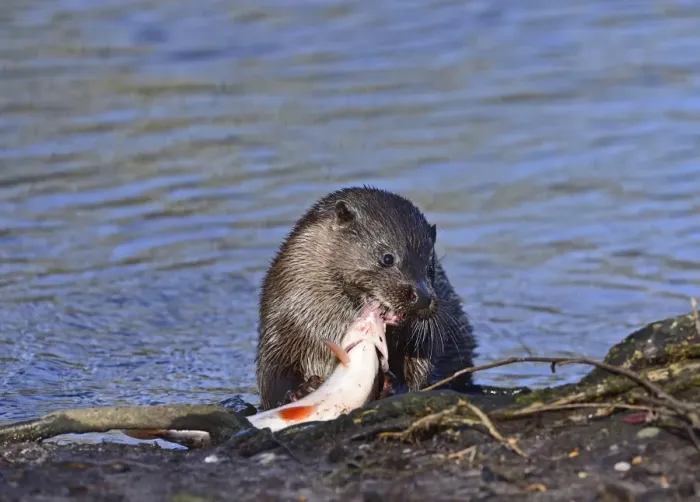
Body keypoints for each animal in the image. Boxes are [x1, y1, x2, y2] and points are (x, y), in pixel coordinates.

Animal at [256, 186, 477, 410]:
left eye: (430, 266)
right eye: (387, 258)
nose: (423, 297)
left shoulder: (425, 341)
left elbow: (421, 369)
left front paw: (393, 385)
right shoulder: (280, 323)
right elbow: (271, 376)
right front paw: (301, 390)